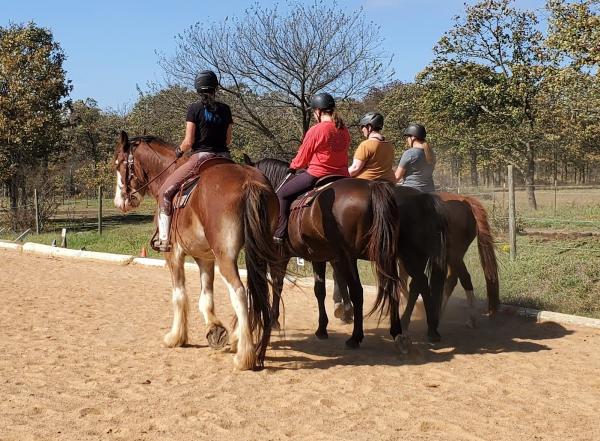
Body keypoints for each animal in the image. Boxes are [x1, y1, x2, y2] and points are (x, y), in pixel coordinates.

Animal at [113, 132, 278, 370]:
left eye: (118, 164)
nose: (120, 202)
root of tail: (249, 183)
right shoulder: (205, 258)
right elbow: (205, 297)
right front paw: (215, 329)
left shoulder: (173, 255)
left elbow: (179, 295)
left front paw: (175, 337)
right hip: (256, 253)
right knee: (254, 291)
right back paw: (240, 340)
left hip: (226, 257)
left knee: (238, 292)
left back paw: (244, 356)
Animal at [244, 155, 408, 350]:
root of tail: (372, 187)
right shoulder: (319, 257)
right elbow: (319, 290)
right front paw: (322, 328)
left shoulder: (280, 256)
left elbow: (278, 285)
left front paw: (274, 319)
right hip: (386, 256)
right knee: (392, 287)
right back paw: (396, 332)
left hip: (349, 257)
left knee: (357, 292)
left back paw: (355, 337)